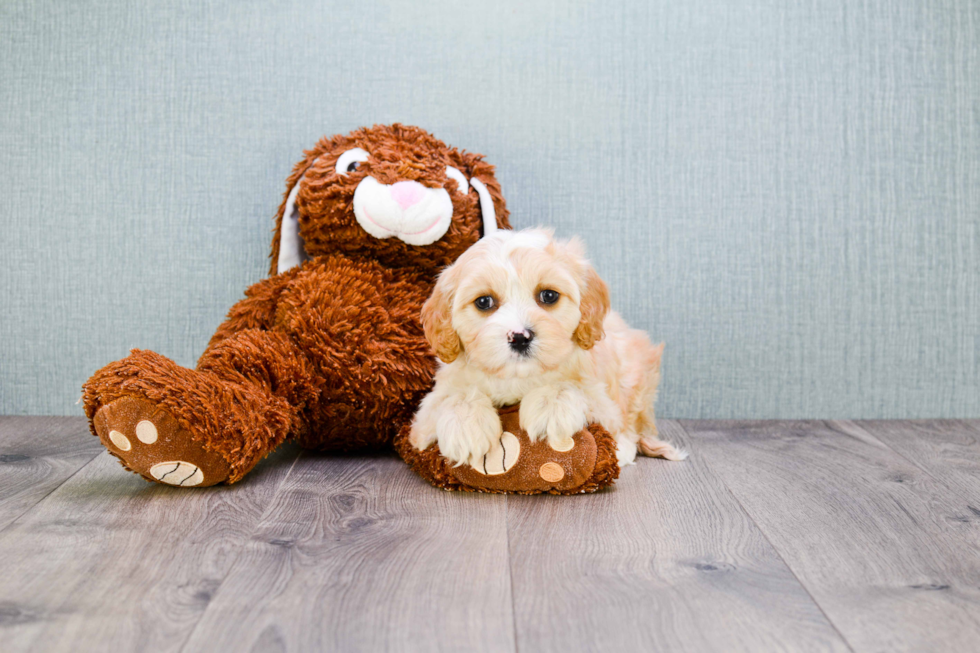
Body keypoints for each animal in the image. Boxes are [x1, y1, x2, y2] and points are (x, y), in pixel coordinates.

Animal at [410, 228, 684, 468]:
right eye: (484, 302)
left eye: (549, 296)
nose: (519, 337)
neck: (517, 378)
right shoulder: (426, 414)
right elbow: (453, 396)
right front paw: (466, 428)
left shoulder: (603, 400)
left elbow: (573, 386)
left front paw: (550, 406)